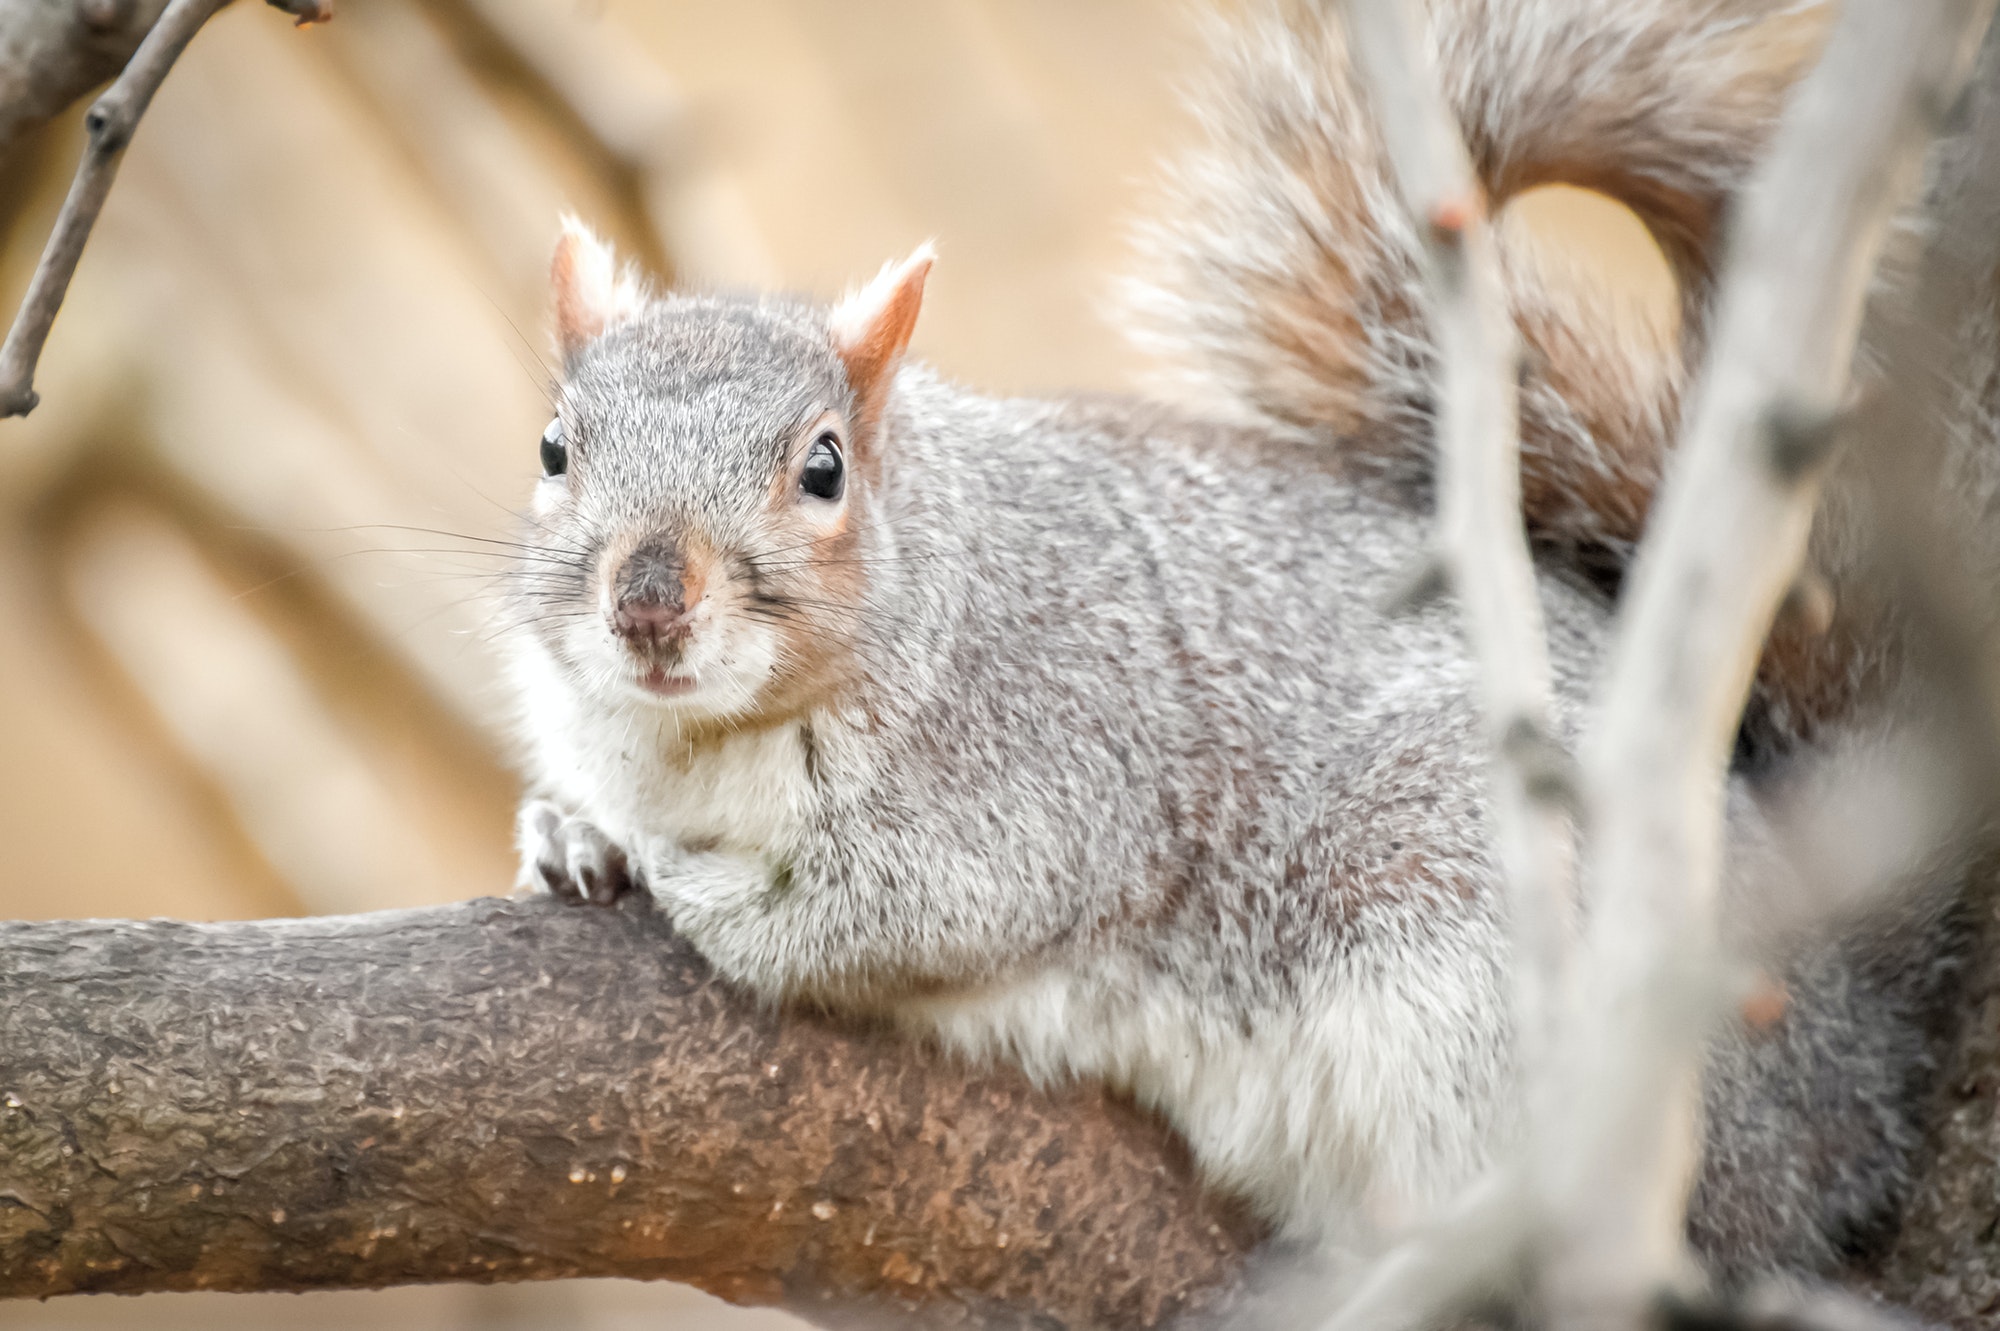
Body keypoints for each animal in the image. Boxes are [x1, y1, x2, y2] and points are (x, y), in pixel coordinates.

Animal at [504, 0, 1984, 1287]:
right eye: (554, 448)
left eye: (821, 468)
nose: (647, 603)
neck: (699, 738)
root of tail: (1855, 1060)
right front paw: (569, 828)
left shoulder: (1042, 775)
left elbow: (872, 916)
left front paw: (682, 877)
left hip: (1504, 963)